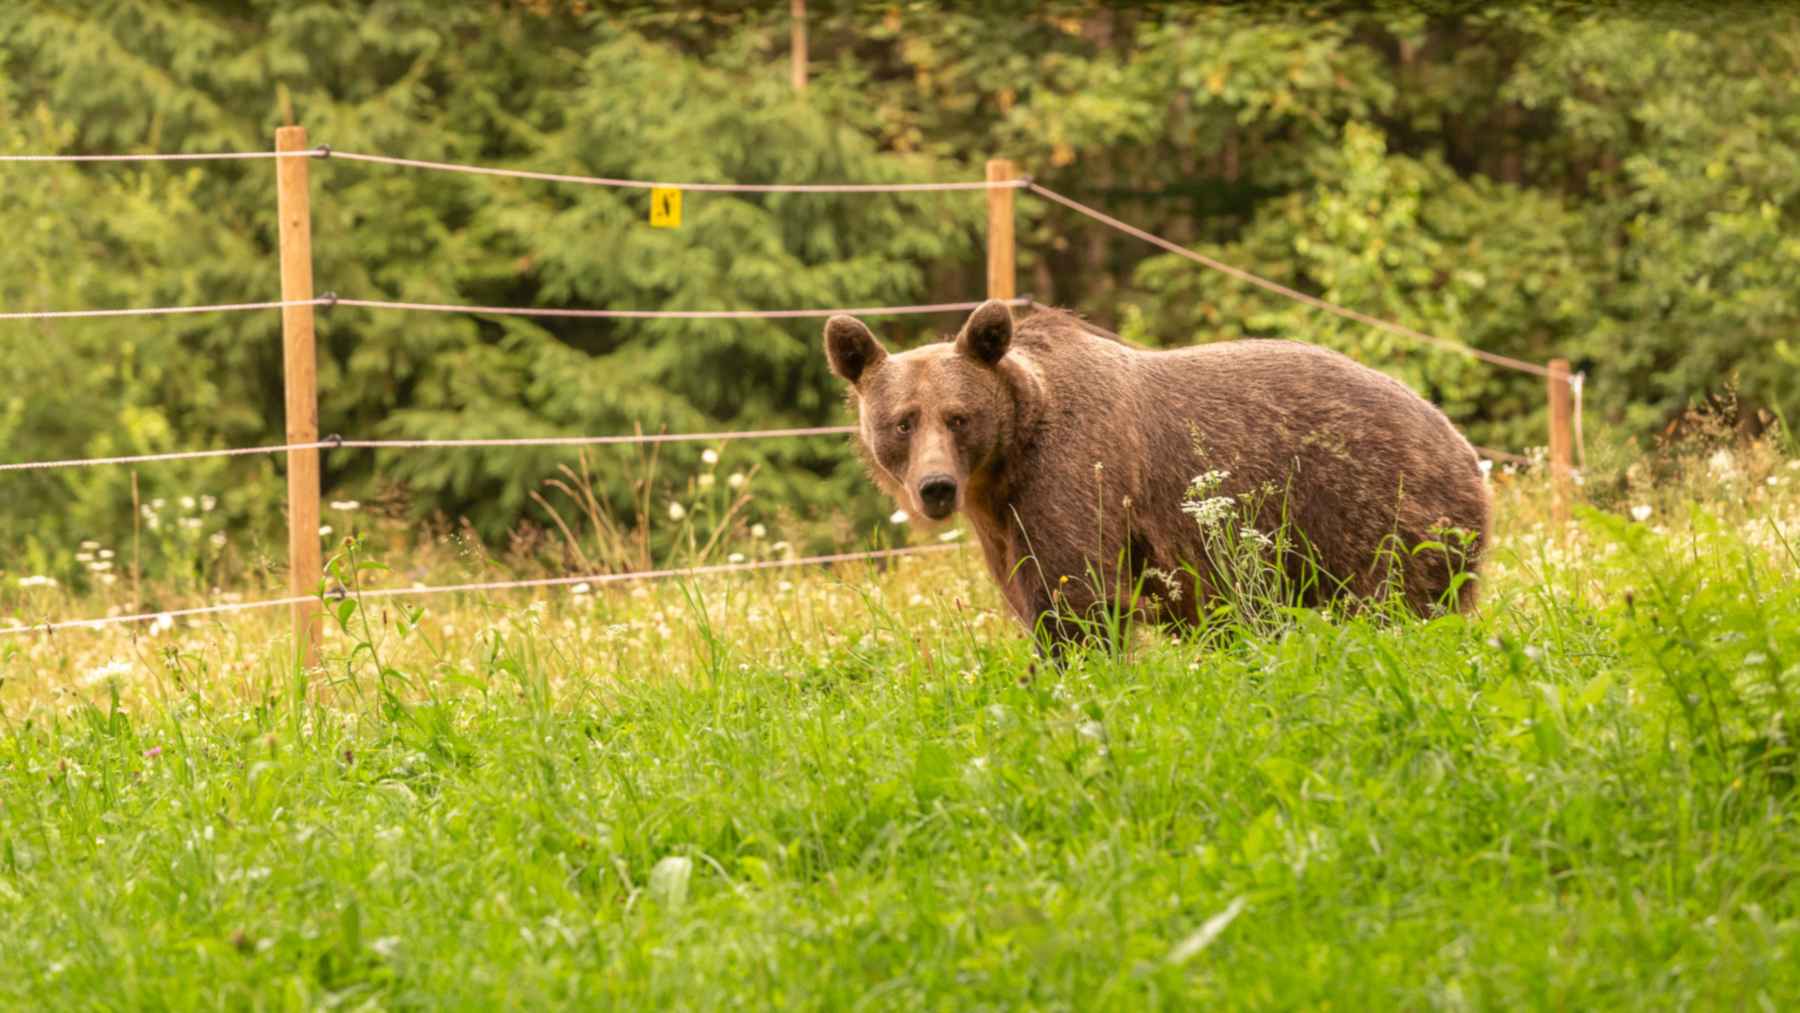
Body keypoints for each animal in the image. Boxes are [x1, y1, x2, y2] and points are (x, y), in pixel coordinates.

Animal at [823, 299, 1492, 650]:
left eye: (958, 417)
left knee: (1398, 605)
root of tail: (1466, 450)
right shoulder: (1002, 519)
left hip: (1380, 511)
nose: (935, 488)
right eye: (903, 422)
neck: (1006, 461)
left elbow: (1075, 601)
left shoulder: (1073, 473)